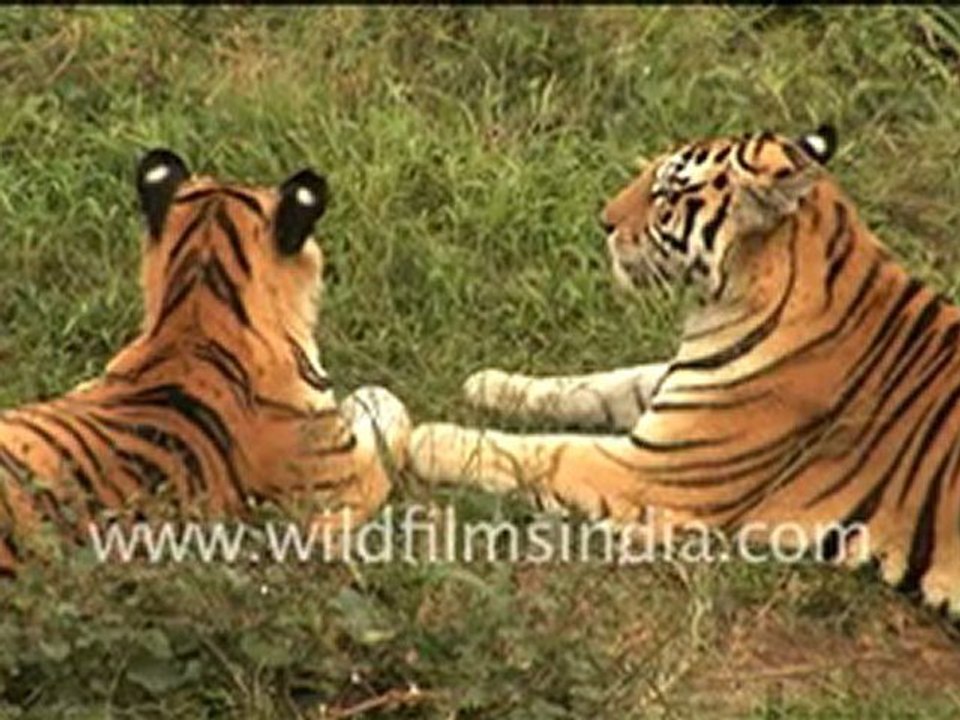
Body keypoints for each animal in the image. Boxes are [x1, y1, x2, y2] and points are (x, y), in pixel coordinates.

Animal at [409, 125, 960, 616]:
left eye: (667, 193)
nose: (602, 221)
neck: (727, 302)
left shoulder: (653, 470)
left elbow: (543, 450)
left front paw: (428, 438)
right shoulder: (676, 387)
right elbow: (593, 384)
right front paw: (489, 382)